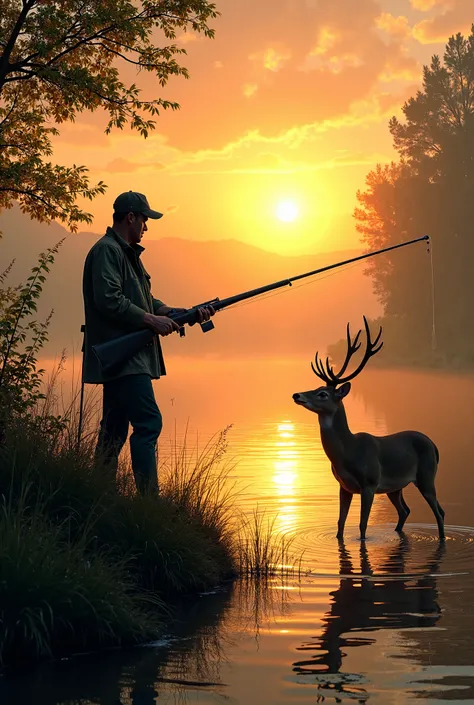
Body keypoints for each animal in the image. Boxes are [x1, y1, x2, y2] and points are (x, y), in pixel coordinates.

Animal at [292, 316, 444, 540]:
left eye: (323, 394)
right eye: (316, 387)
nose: (297, 395)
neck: (347, 452)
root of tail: (433, 445)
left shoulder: (369, 483)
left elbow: (363, 525)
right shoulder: (344, 486)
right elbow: (340, 524)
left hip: (426, 475)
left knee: (439, 512)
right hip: (395, 487)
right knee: (406, 510)